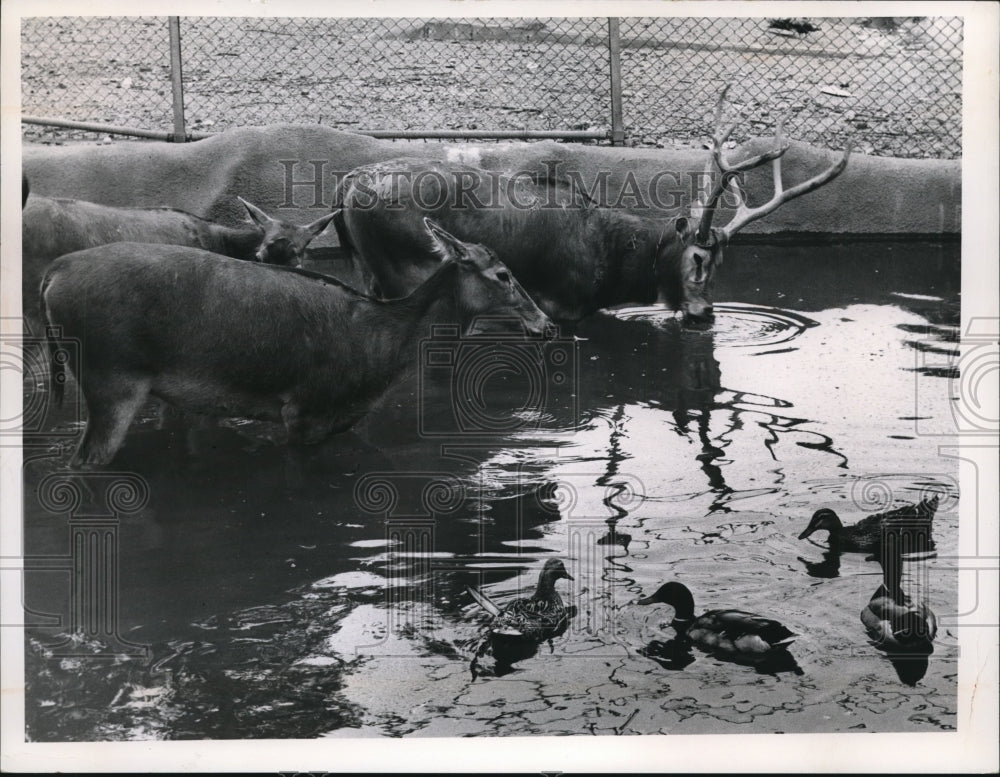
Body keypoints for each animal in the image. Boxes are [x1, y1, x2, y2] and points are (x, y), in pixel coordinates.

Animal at [43, 218, 552, 466]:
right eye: (503, 275)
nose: (546, 323)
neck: (383, 346)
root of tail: (52, 276)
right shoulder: (306, 409)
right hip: (111, 376)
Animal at [336, 85, 852, 324]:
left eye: (723, 261)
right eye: (698, 258)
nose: (705, 313)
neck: (615, 268)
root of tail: (344, 189)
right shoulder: (565, 306)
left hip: (366, 268)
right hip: (401, 269)